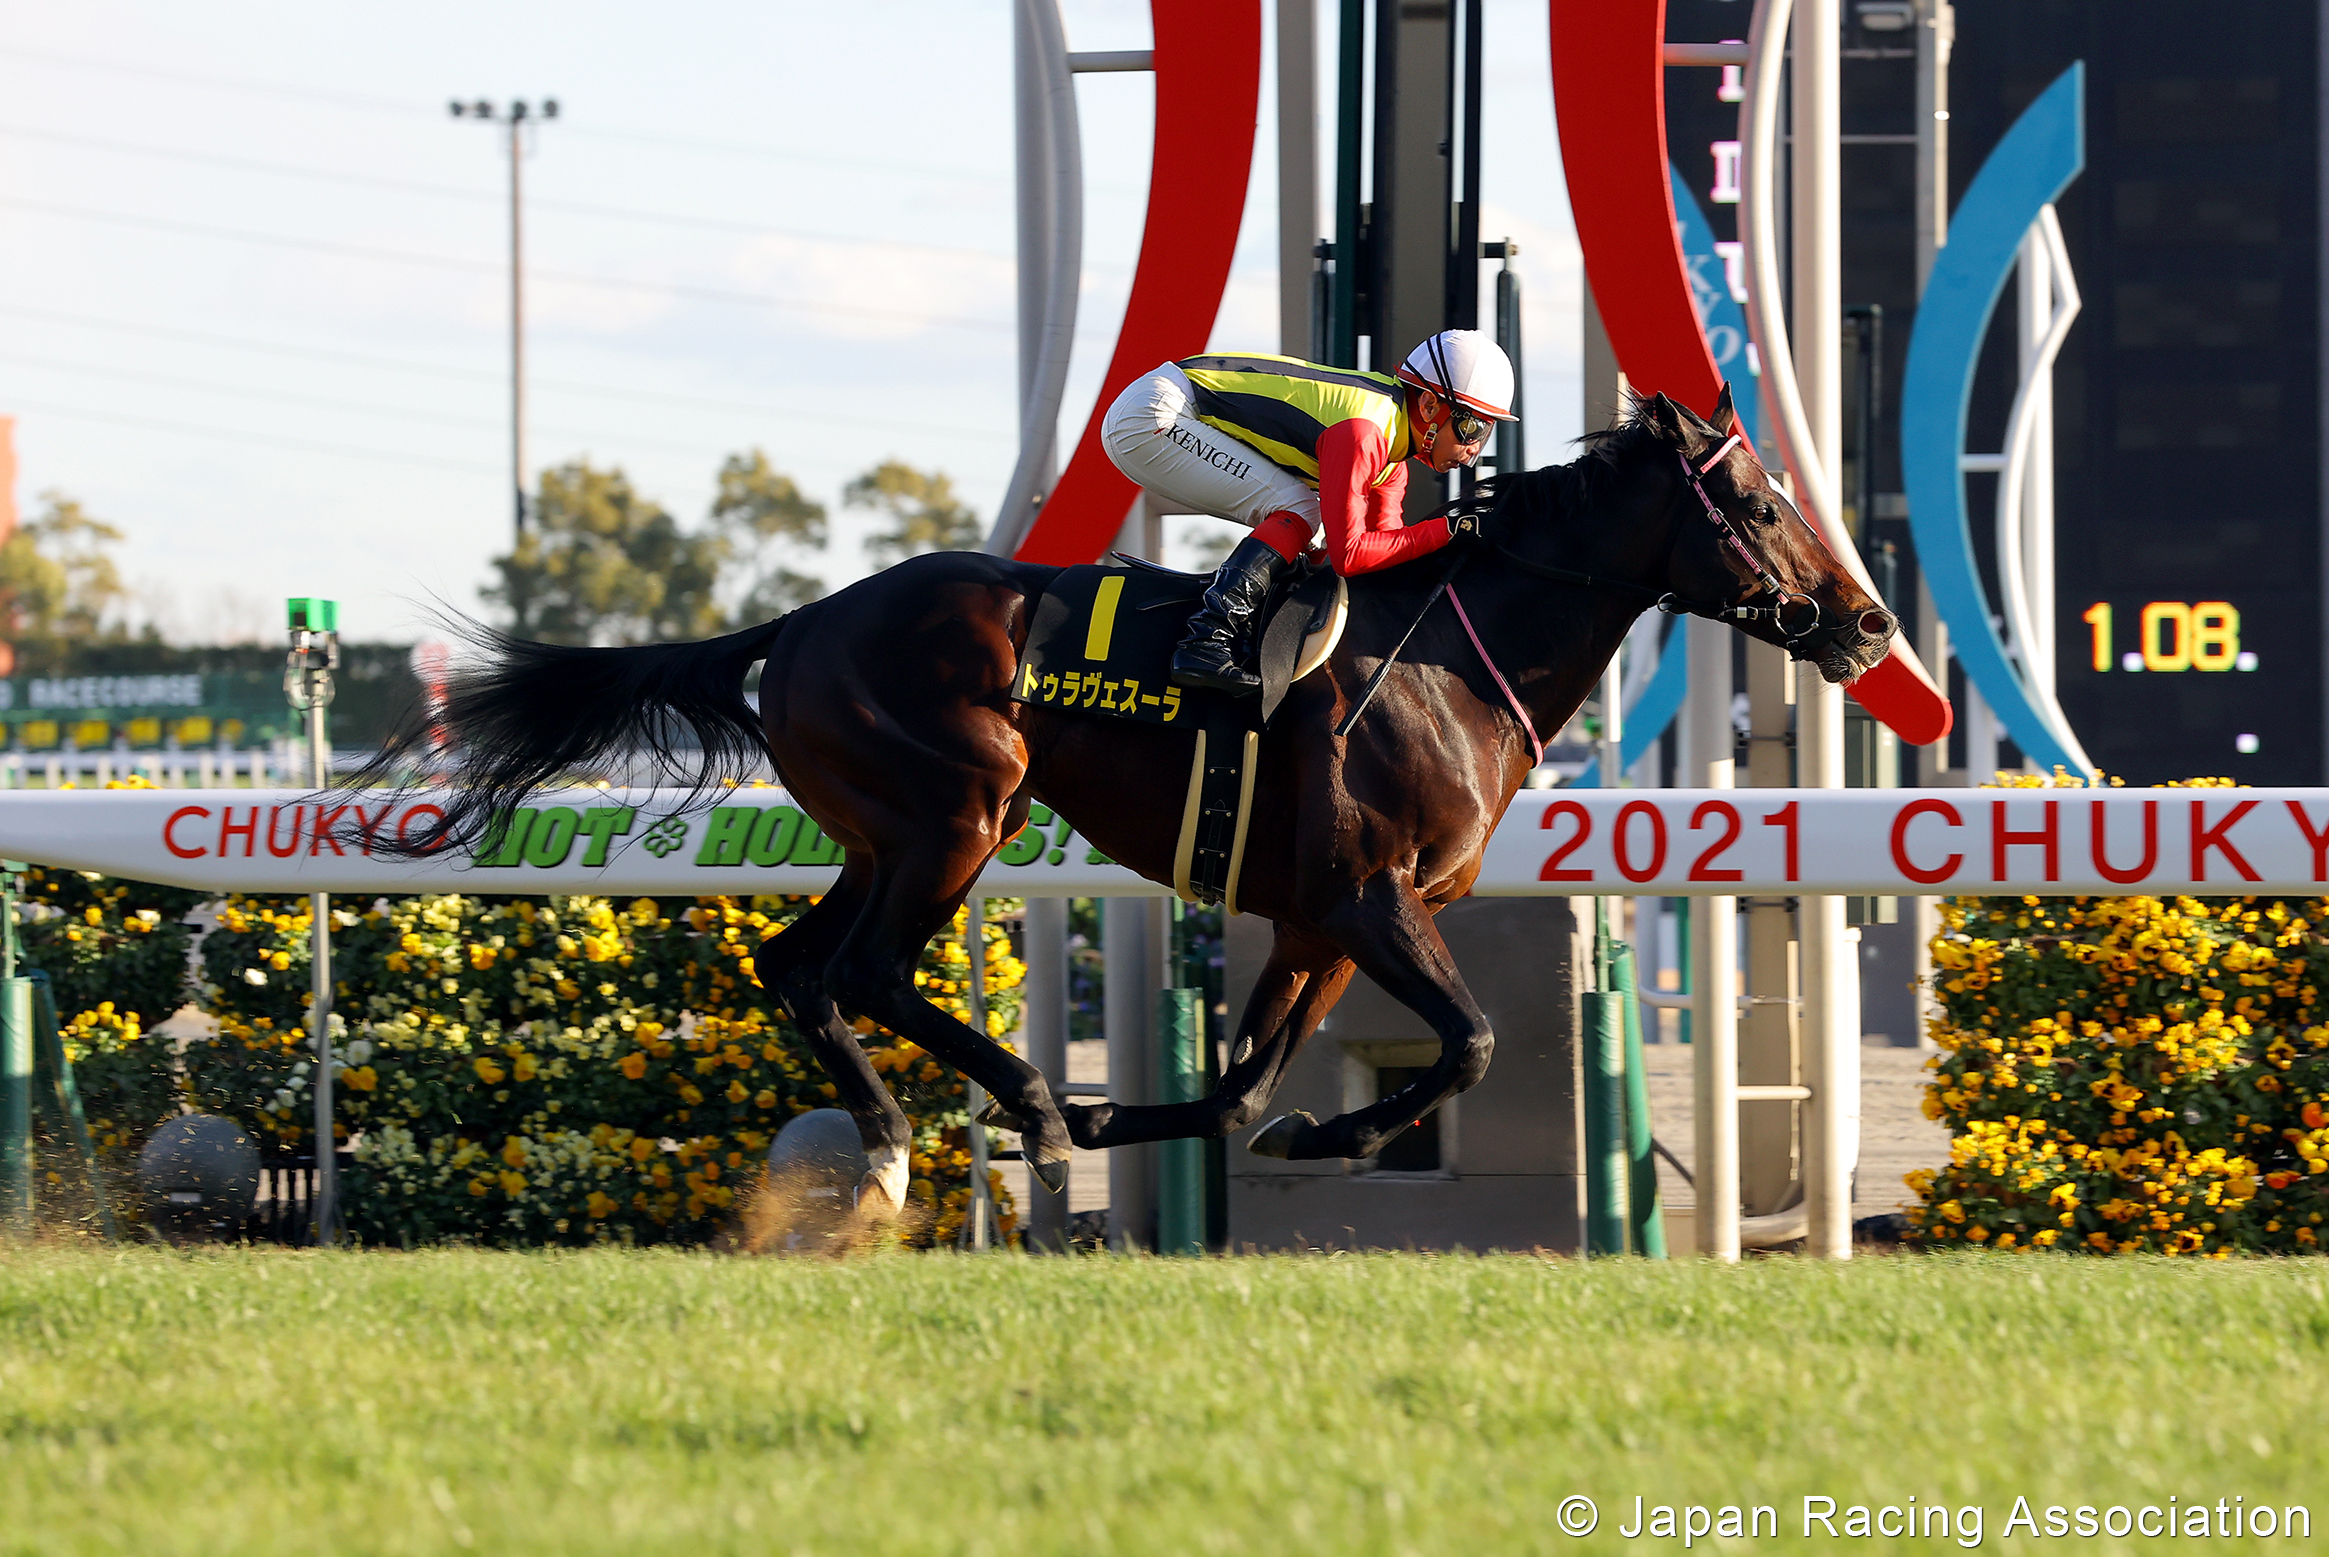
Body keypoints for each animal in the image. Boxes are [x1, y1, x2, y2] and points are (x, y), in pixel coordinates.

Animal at [365, 388, 1897, 1217]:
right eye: (1760, 504)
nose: (1869, 623)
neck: (1454, 654)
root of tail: (800, 622)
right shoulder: (1368, 897)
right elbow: (1462, 1043)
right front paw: (1307, 1134)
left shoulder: (1316, 922)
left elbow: (1239, 1091)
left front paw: (1247, 1129)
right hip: (957, 813)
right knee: (866, 969)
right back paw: (1026, 1112)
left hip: (892, 831)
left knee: (798, 965)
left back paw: (900, 1144)